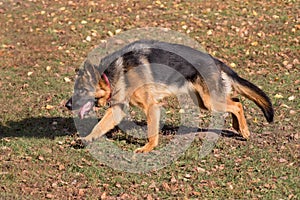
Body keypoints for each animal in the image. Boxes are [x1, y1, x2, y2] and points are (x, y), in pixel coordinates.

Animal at [66, 39, 274, 153]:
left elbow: (152, 131)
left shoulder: (151, 106)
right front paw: (87, 139)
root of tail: (216, 61)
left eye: (81, 90)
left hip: (210, 102)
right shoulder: (117, 109)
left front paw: (148, 148)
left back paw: (244, 131)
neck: (113, 74)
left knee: (237, 105)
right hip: (205, 102)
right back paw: (238, 127)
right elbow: (99, 127)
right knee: (236, 101)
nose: (67, 106)